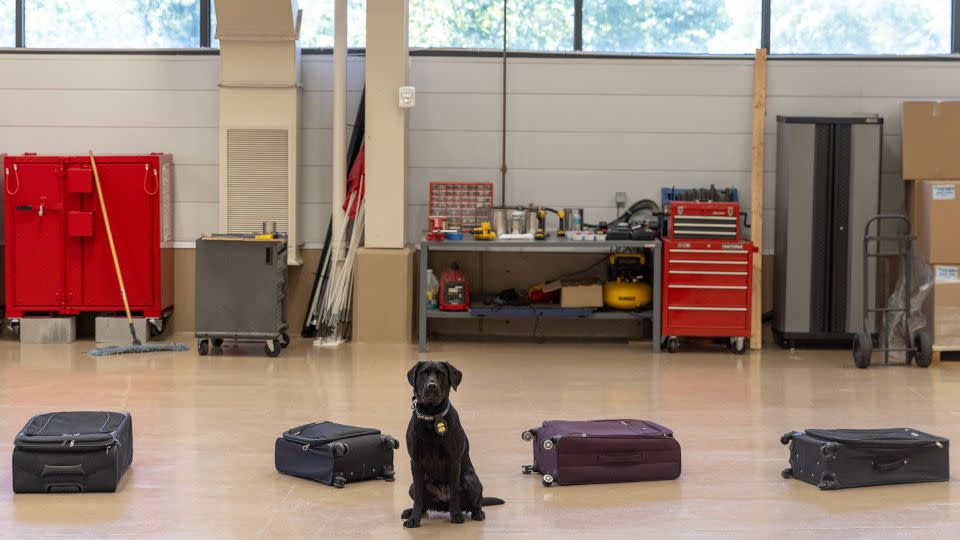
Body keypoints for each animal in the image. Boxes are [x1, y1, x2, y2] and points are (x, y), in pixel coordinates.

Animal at [400, 358, 502, 528]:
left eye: (441, 374)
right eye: (424, 373)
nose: (432, 386)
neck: (432, 416)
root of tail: (443, 505)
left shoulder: (453, 461)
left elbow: (454, 491)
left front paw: (456, 515)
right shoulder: (415, 462)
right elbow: (419, 499)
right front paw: (414, 519)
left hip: (471, 480)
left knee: (475, 503)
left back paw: (477, 513)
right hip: (412, 487)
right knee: (424, 504)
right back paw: (410, 512)